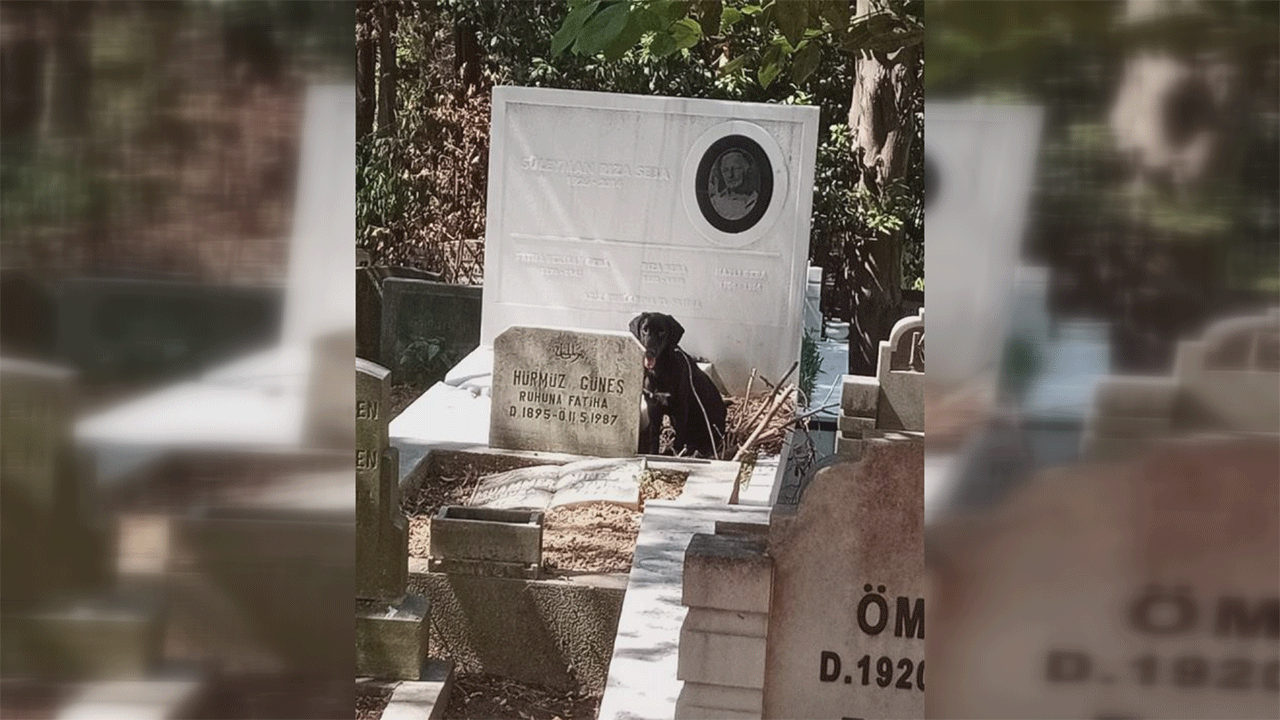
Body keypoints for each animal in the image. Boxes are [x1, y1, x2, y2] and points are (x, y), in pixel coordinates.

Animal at [632, 311, 732, 456]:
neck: (659, 370)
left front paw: (677, 454)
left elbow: (679, 437)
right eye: (645, 329)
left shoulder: (680, 407)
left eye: (662, 331)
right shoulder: (652, 405)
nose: (649, 352)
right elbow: (654, 435)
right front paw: (653, 453)